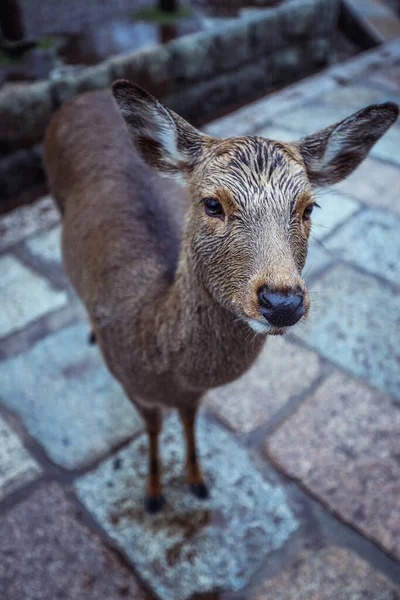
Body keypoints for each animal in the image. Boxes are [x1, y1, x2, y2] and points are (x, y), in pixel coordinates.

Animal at [43, 82, 396, 512]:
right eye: (212, 203)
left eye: (309, 207)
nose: (282, 302)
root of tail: (83, 95)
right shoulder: (130, 385)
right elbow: (153, 429)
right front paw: (154, 495)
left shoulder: (193, 394)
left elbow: (189, 420)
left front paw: (197, 480)